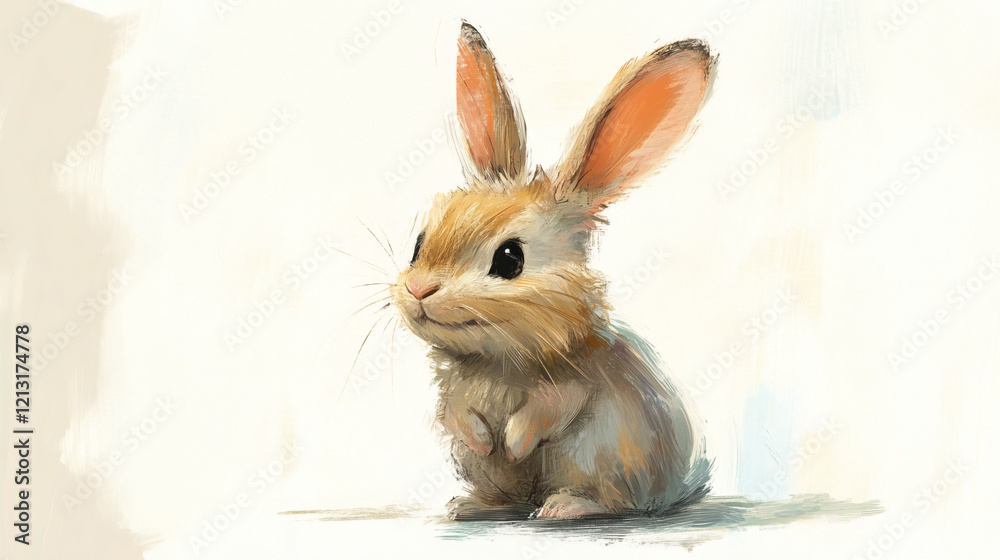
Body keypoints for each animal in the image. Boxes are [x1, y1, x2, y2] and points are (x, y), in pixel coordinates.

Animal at [390, 22, 715, 520]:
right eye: (418, 244)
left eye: (509, 259)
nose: (420, 289)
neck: (498, 359)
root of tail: (673, 490)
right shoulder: (453, 392)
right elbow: (456, 415)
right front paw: (486, 442)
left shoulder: (575, 385)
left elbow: (547, 410)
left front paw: (512, 443)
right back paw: (469, 505)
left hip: (601, 460)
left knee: (613, 502)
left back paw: (563, 506)